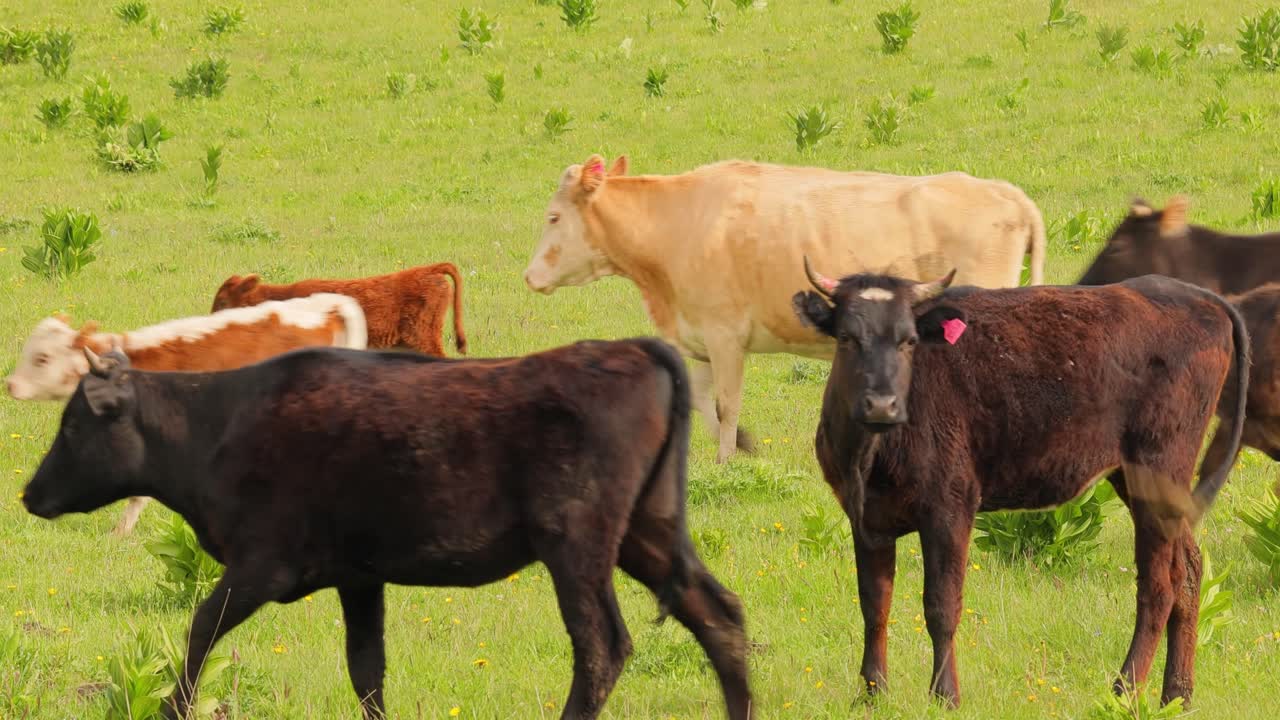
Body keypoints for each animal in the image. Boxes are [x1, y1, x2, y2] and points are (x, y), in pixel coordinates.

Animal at [21, 340, 752, 720]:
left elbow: (202, 625)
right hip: (646, 533)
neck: (217, 427)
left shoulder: (262, 562)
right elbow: (366, 668)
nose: (29, 494)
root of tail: (632, 348)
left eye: (73, 426)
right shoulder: (358, 578)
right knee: (718, 614)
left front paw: (174, 706)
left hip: (577, 546)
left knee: (602, 645)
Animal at [523, 154, 1047, 463]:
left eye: (553, 217)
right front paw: (741, 446)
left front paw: (726, 462)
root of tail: (1007, 192)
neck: (679, 222)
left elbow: (726, 403)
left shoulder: (725, 335)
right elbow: (699, 399)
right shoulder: (702, 340)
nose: (529, 276)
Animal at [791, 262, 1248, 709]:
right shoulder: (866, 517)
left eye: (909, 341)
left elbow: (941, 604)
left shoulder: (950, 507)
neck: (873, 453)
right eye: (847, 338)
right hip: (1143, 483)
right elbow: (874, 604)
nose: (881, 405)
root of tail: (1198, 296)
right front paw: (871, 694)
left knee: (1158, 587)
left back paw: (1124, 693)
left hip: (1158, 468)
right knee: (1188, 571)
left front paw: (945, 696)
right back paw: (1177, 696)